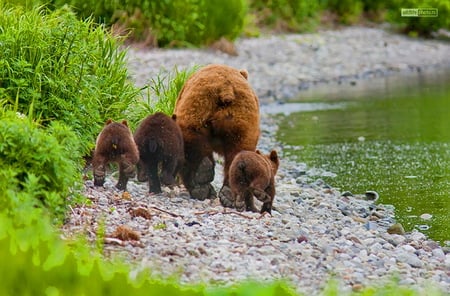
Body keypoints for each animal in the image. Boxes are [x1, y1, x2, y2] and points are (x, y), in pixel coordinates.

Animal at [175, 64, 262, 205]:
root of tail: (226, 89)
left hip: (197, 108)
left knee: (191, 140)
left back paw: (201, 184)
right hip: (241, 120)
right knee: (238, 150)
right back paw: (228, 193)